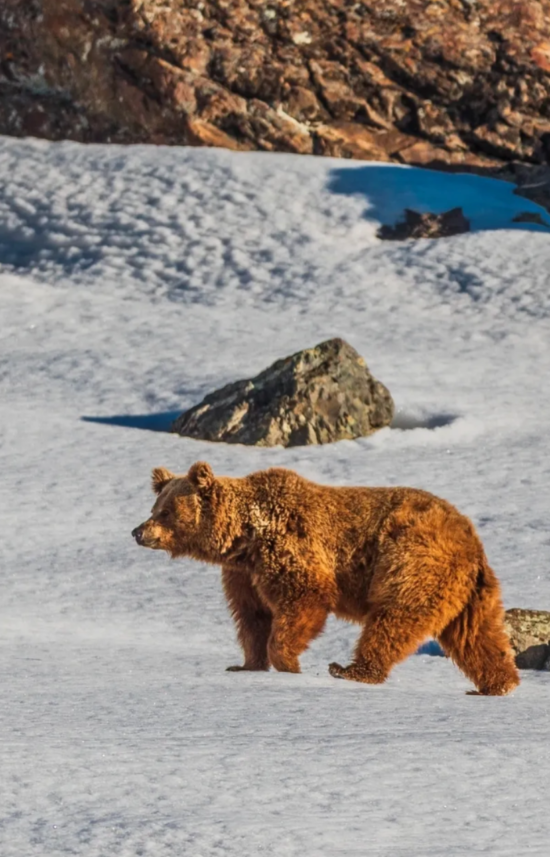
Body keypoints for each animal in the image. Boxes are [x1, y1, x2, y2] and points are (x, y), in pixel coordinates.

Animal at [133, 462, 520, 696]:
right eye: (154, 508)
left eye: (165, 512)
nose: (138, 531)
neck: (245, 536)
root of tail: (470, 538)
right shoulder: (244, 574)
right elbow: (252, 618)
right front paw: (245, 665)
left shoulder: (290, 547)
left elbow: (305, 599)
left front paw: (288, 662)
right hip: (470, 591)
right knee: (477, 635)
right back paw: (497, 684)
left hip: (412, 561)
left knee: (394, 618)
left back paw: (352, 669)